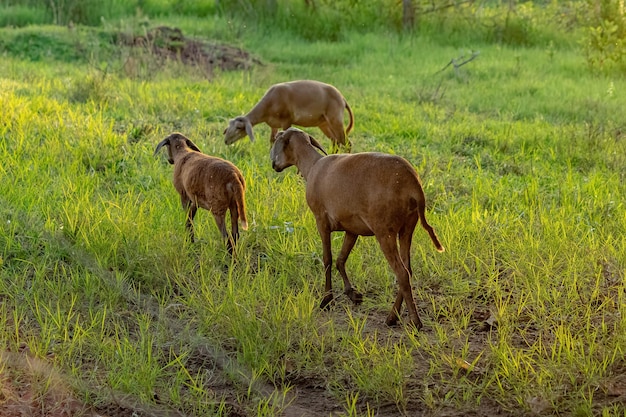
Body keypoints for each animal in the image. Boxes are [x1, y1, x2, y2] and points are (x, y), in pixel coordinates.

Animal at [223, 79, 352, 150]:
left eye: (239, 127)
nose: (226, 141)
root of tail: (342, 99)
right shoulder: (273, 125)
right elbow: (272, 141)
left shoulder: (287, 121)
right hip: (324, 123)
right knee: (336, 142)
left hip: (335, 119)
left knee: (347, 143)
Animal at [270, 127, 444, 328]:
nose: (273, 164)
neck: (313, 166)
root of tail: (414, 185)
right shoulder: (352, 229)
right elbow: (341, 259)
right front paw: (353, 294)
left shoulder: (321, 220)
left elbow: (327, 259)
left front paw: (327, 300)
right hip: (407, 227)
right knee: (407, 270)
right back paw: (392, 317)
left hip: (385, 231)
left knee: (401, 273)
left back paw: (415, 322)